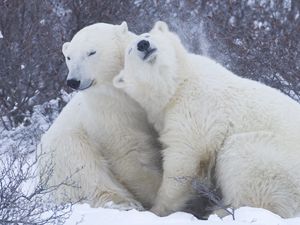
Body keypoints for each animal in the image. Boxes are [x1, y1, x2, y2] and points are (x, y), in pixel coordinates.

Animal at [39, 22, 163, 210]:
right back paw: (124, 202)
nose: (73, 81)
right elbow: (130, 154)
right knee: (85, 169)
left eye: (91, 52)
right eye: (69, 57)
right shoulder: (109, 113)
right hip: (65, 150)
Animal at [113, 21, 300, 218]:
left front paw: (157, 209)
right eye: (130, 50)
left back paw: (221, 211)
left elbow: (184, 157)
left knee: (242, 157)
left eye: (147, 36)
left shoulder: (196, 105)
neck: (178, 83)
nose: (143, 45)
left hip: (277, 160)